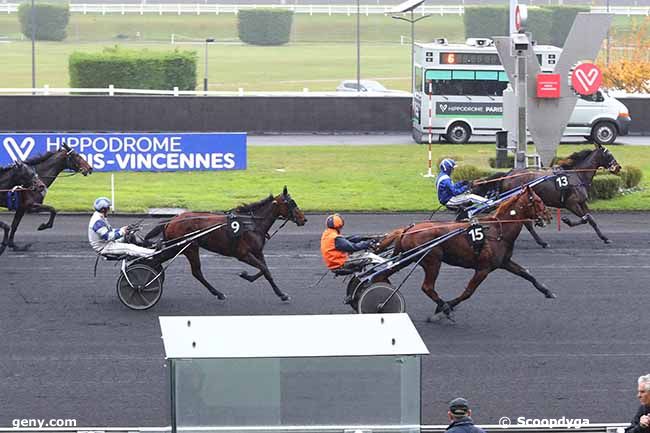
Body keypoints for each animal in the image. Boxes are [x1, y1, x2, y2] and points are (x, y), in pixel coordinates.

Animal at [146, 186, 308, 300]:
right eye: (292, 203)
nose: (304, 219)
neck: (251, 224)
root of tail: (172, 220)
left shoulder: (257, 251)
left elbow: (265, 270)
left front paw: (277, 292)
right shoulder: (243, 254)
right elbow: (264, 269)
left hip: (177, 247)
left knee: (157, 261)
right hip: (189, 248)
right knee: (196, 272)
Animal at [378, 186, 556, 320]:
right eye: (538, 201)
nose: (549, 215)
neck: (498, 230)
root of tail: (408, 229)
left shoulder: (504, 262)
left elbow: (527, 274)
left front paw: (548, 291)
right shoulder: (483, 269)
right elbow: (468, 292)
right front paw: (444, 308)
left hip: (406, 257)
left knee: (383, 274)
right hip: (432, 260)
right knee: (427, 287)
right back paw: (443, 307)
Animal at [470, 144, 616, 245]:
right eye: (609, 155)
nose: (618, 167)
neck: (576, 176)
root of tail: (509, 174)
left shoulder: (581, 202)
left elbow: (591, 219)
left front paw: (605, 238)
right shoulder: (571, 203)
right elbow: (586, 218)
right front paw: (567, 220)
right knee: (524, 222)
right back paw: (541, 241)